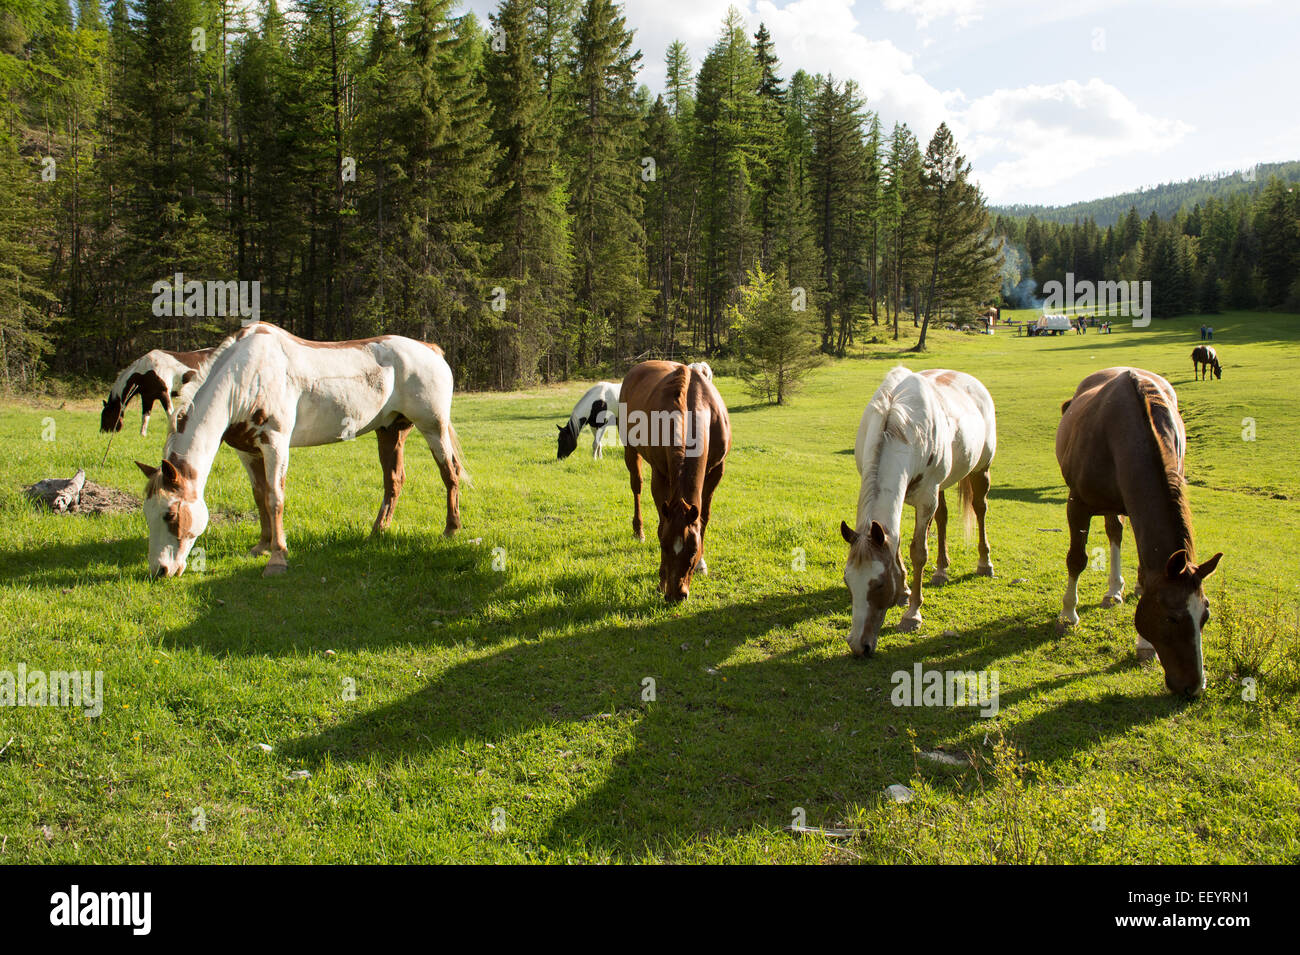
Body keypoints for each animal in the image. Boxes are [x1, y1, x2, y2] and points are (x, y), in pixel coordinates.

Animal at [135, 322, 465, 579]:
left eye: (170, 514)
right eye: (147, 513)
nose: (159, 571)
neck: (244, 375)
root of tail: (430, 349)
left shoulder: (275, 443)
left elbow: (275, 498)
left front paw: (277, 558)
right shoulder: (247, 450)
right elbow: (259, 496)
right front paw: (262, 545)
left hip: (432, 427)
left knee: (449, 473)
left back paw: (451, 529)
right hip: (391, 431)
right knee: (394, 481)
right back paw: (377, 531)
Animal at [620, 361, 731, 602]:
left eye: (693, 550)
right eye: (663, 546)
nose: (676, 594)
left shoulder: (716, 472)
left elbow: (704, 518)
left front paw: (701, 564)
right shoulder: (660, 474)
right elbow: (662, 523)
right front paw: (661, 580)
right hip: (630, 450)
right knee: (636, 486)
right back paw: (638, 530)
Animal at [839, 367, 997, 656]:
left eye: (879, 584)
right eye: (847, 581)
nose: (858, 645)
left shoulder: (925, 499)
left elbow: (918, 552)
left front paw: (912, 615)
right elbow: (897, 542)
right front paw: (904, 591)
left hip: (980, 470)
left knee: (980, 510)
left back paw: (984, 564)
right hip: (941, 488)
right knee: (943, 517)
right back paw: (941, 571)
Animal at [1055, 367, 1222, 697]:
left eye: (1205, 616)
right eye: (1172, 617)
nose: (1195, 687)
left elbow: (1147, 573)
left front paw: (1145, 645)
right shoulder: (1077, 504)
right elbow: (1076, 559)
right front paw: (1068, 614)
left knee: (1118, 535)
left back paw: (1117, 589)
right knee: (1113, 532)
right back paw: (1112, 591)